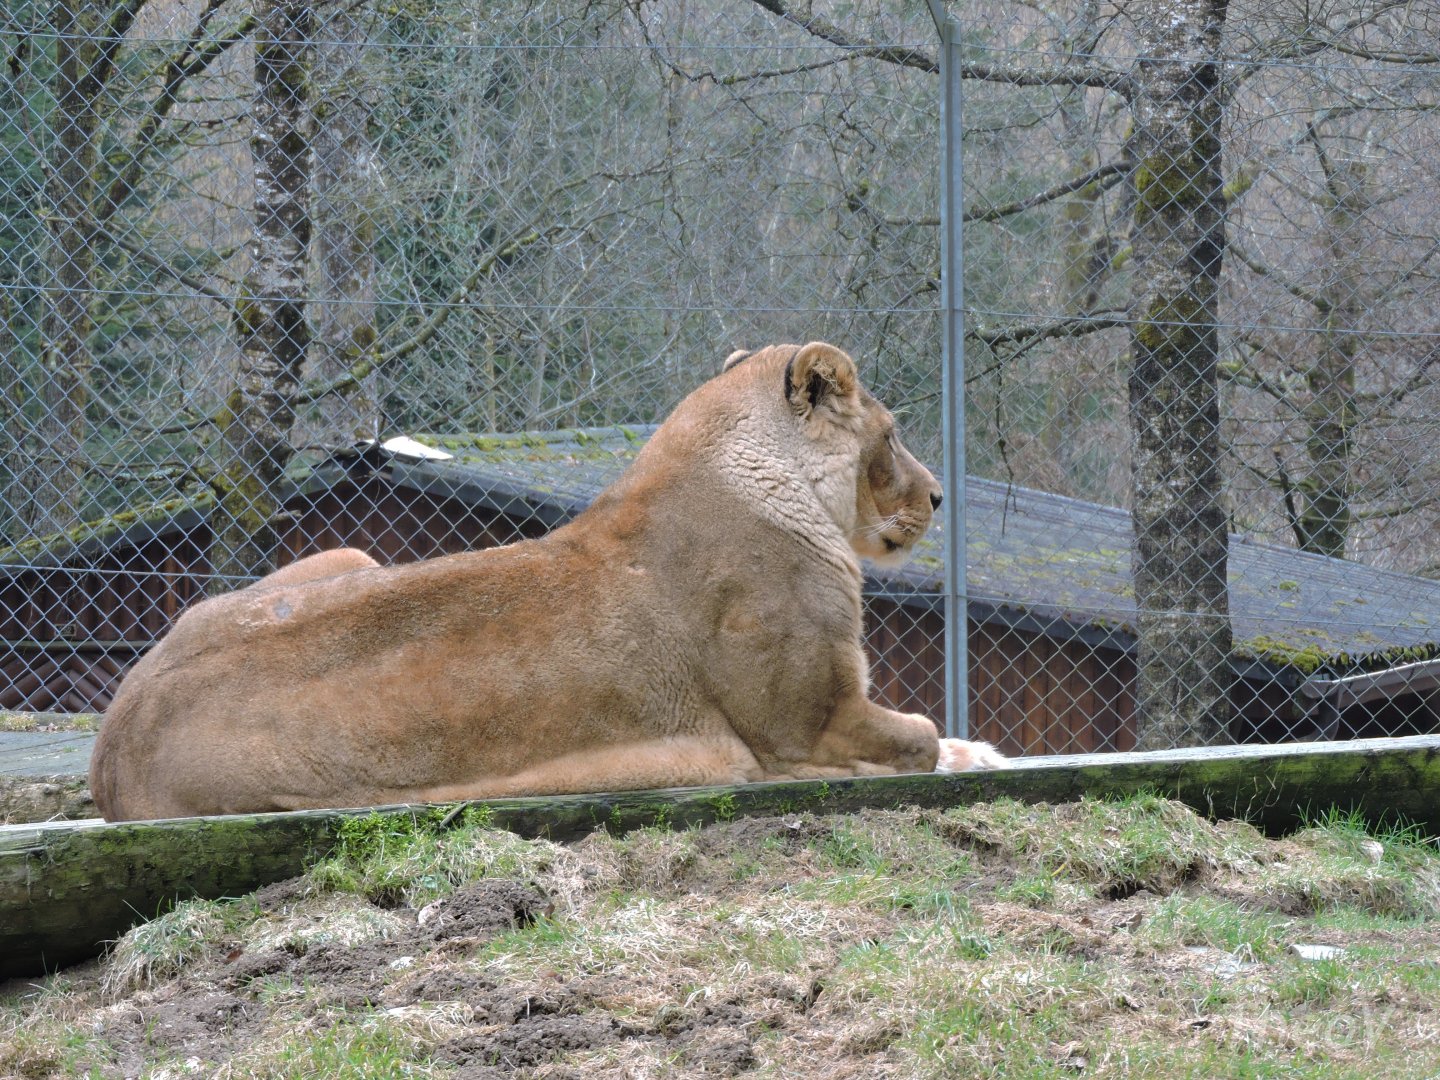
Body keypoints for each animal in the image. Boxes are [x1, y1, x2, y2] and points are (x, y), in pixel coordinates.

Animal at [90, 342, 1005, 821]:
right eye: (892, 435)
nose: (937, 496)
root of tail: (106, 751)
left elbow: (930, 733)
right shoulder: (804, 727)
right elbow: (920, 736)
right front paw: (952, 755)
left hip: (347, 558)